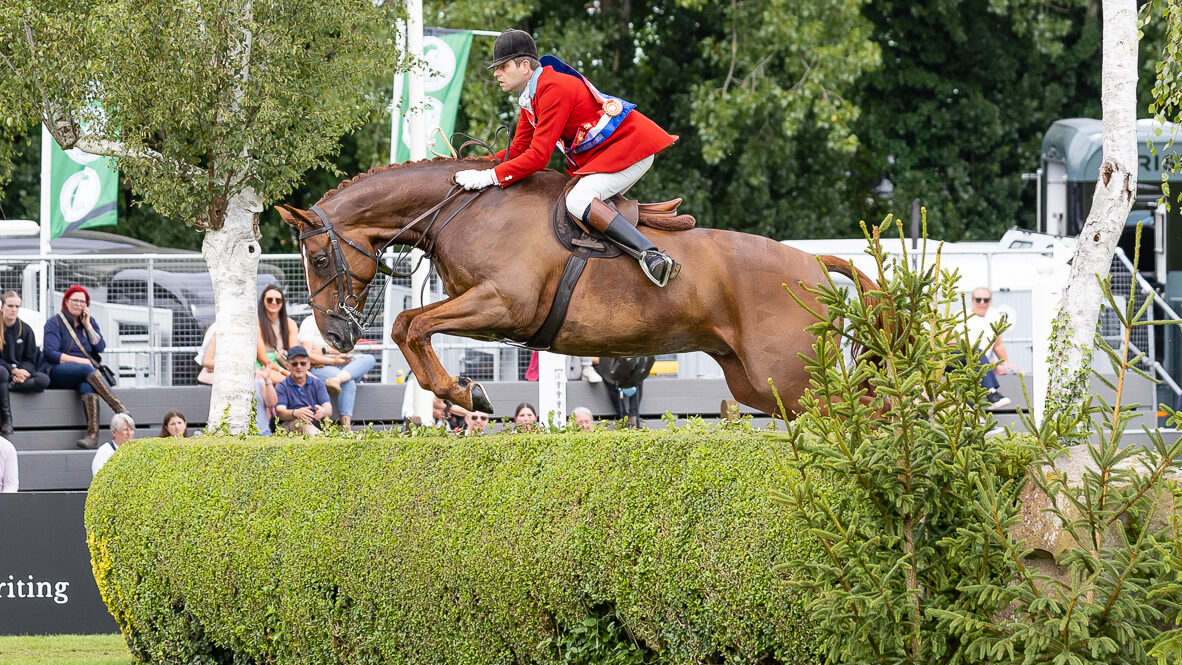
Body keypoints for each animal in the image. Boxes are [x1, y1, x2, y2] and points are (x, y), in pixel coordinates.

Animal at [278, 156, 878, 418]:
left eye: (317, 257)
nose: (335, 337)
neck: (463, 211)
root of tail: (814, 262)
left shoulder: (503, 305)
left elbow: (409, 323)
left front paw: (467, 393)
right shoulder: (480, 307)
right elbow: (412, 329)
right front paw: (463, 392)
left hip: (793, 376)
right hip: (758, 383)